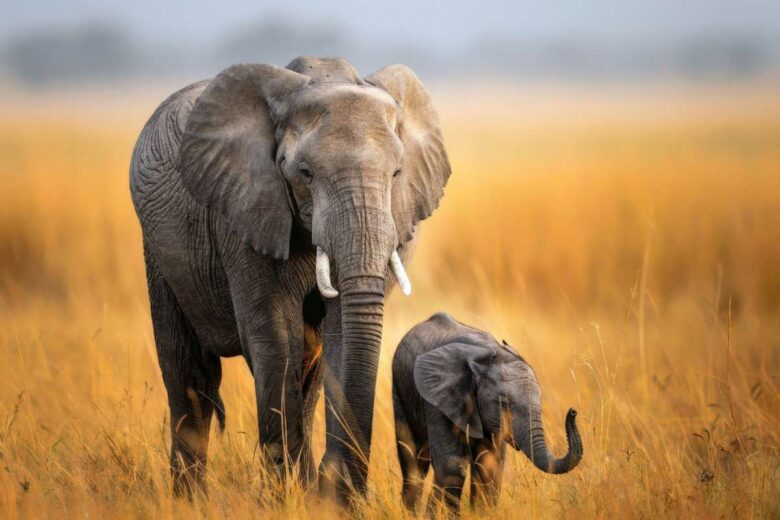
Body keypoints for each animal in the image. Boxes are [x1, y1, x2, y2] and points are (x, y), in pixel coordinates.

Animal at [129, 56, 450, 500]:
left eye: (397, 173)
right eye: (305, 173)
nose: (349, 487)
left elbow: (338, 338)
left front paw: (330, 497)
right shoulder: (245, 215)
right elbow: (276, 339)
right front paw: (289, 497)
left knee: (306, 372)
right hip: (158, 248)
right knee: (189, 375)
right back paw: (189, 500)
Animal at [392, 312, 582, 512]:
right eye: (503, 403)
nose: (573, 412)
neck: (491, 356)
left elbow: (489, 466)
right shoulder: (439, 398)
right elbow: (451, 465)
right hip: (399, 390)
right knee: (413, 459)